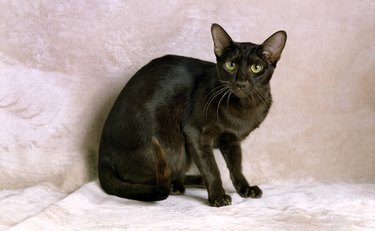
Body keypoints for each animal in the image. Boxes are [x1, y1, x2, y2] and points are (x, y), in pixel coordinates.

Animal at [97, 23, 288, 208]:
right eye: (231, 65)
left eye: (256, 68)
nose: (241, 83)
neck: (244, 108)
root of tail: (103, 156)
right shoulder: (195, 133)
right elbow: (211, 168)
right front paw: (218, 197)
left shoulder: (232, 140)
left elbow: (236, 167)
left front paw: (245, 189)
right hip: (173, 145)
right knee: (153, 178)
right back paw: (176, 187)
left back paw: (196, 181)